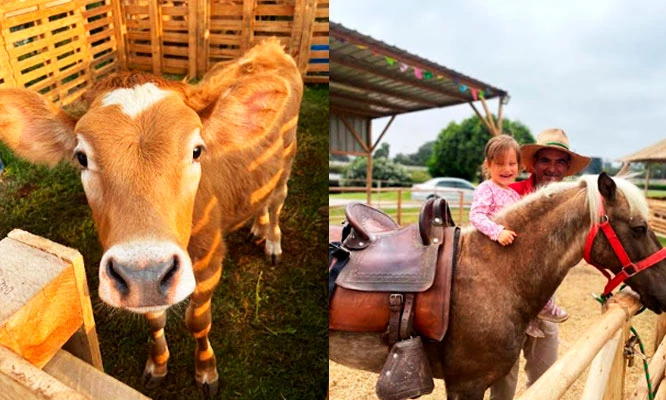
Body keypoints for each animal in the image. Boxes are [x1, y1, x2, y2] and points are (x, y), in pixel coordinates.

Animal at [0, 39, 302, 397]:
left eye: (197, 150)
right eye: (81, 157)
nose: (143, 273)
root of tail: (269, 47)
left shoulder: (210, 259)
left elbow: (198, 321)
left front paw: (206, 371)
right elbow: (155, 319)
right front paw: (158, 365)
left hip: (286, 161)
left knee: (277, 201)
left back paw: (272, 242)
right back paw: (257, 226)